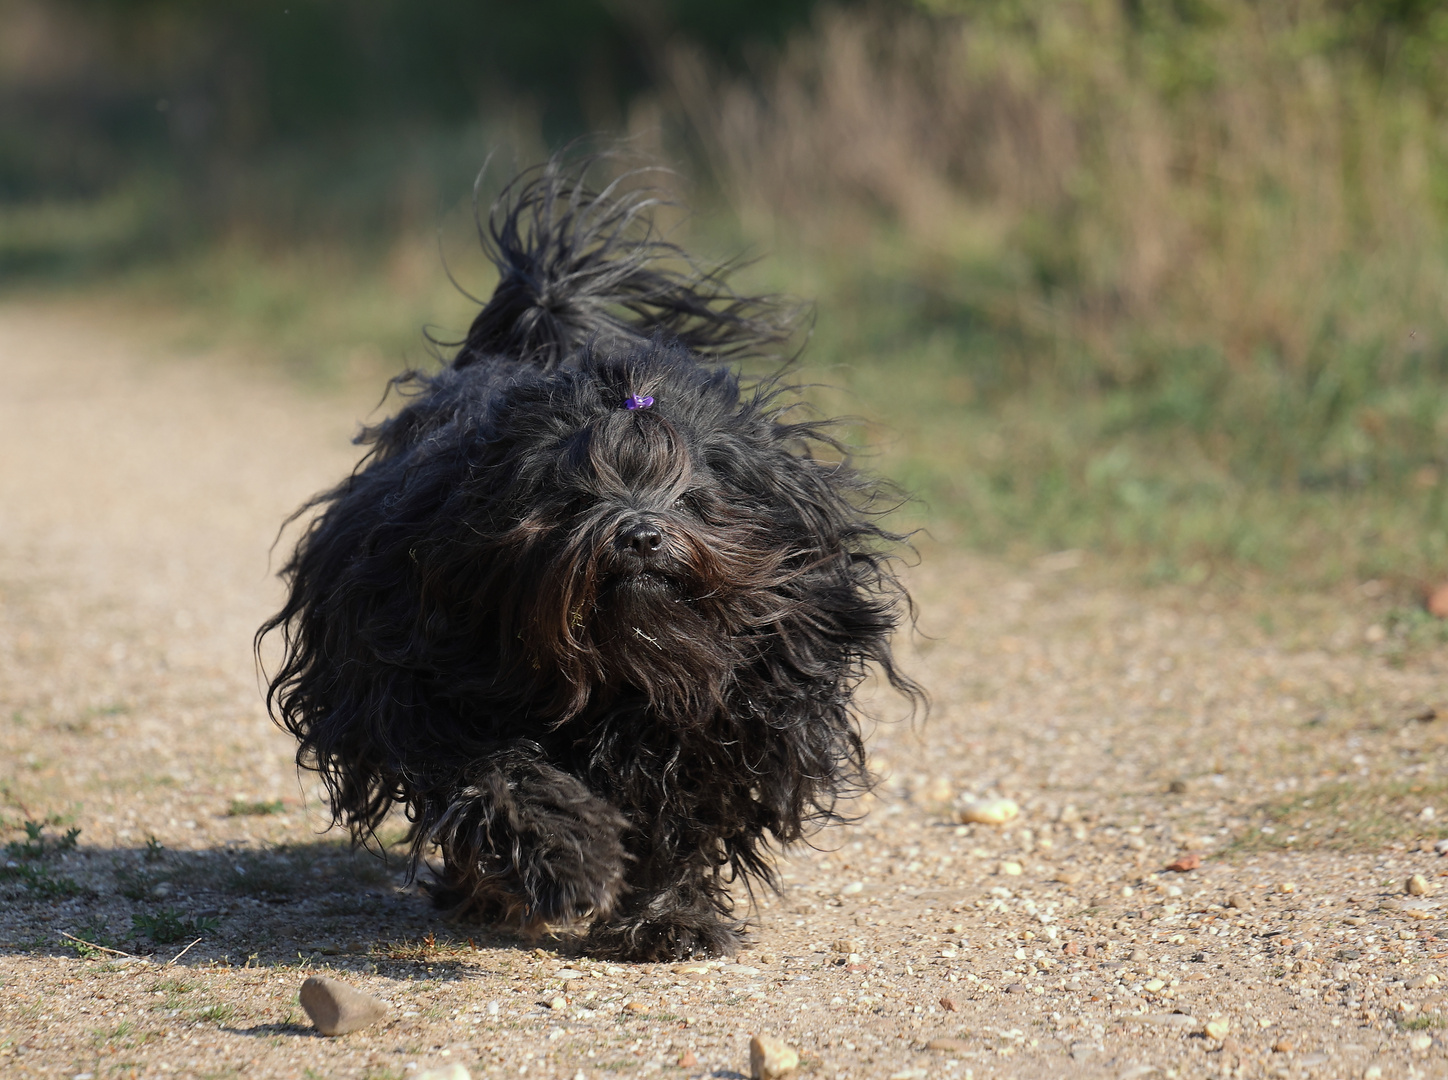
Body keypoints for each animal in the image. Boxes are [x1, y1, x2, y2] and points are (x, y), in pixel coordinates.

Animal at [259, 157, 915, 961]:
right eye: (572, 497)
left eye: (692, 495)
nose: (640, 536)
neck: (625, 668)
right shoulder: (422, 681)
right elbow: (503, 772)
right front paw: (571, 859)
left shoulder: (744, 707)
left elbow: (685, 812)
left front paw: (668, 917)